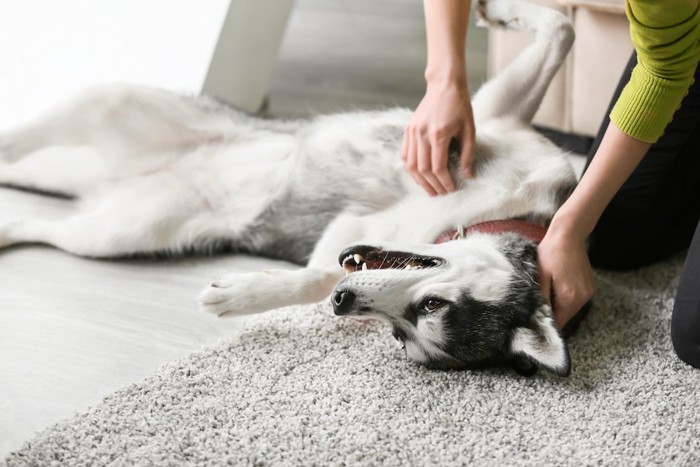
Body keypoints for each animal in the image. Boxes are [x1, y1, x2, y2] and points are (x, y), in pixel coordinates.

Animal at [0, 0, 576, 376]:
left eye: (405, 330)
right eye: (430, 306)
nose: (346, 303)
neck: (500, 207)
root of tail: (119, 176)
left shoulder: (351, 232)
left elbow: (316, 276)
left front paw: (244, 293)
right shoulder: (486, 115)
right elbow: (562, 27)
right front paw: (499, 9)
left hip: (119, 231)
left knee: (41, 219)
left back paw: (10, 227)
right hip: (107, 103)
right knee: (25, 142)